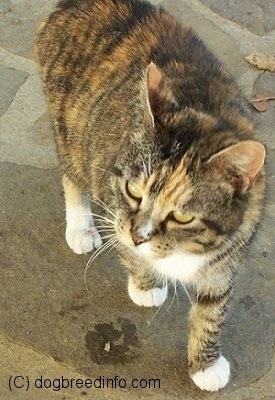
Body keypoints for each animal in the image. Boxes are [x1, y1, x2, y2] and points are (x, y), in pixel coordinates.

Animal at [33, 0, 266, 392]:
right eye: (133, 190)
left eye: (184, 216)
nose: (138, 236)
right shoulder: (113, 202)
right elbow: (127, 251)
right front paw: (146, 285)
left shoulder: (233, 249)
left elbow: (213, 306)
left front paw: (205, 364)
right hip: (69, 125)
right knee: (72, 173)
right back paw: (80, 228)